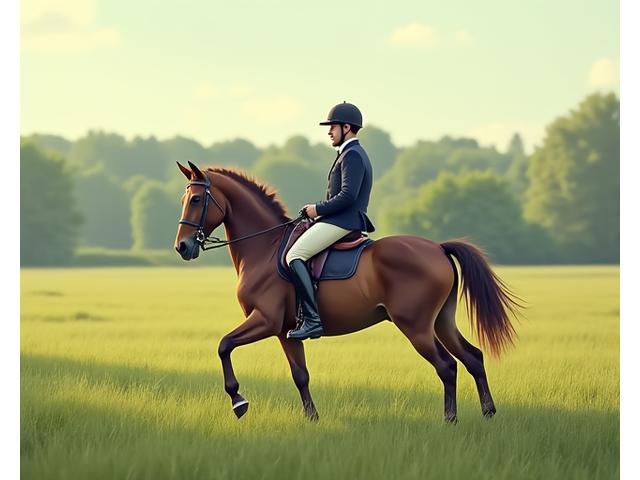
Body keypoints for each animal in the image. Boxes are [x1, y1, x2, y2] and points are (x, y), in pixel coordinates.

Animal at [173, 161, 522, 423]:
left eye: (196, 200)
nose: (182, 247)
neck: (264, 248)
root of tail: (437, 247)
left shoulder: (266, 321)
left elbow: (224, 345)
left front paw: (238, 401)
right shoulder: (286, 331)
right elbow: (300, 375)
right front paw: (312, 418)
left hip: (416, 326)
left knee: (447, 366)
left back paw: (450, 419)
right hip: (441, 321)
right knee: (473, 357)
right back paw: (488, 413)